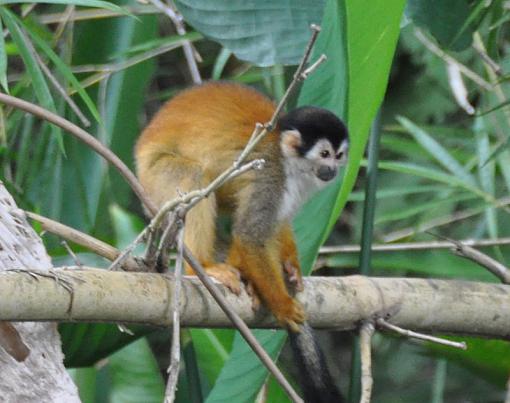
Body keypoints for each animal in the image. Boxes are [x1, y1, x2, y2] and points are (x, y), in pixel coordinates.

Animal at [136, 81, 346, 400]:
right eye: (324, 154)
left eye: (338, 155)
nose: (332, 170)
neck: (289, 160)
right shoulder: (271, 173)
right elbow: (250, 235)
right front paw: (282, 304)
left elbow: (270, 225)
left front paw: (290, 265)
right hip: (156, 174)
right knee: (194, 176)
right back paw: (202, 266)